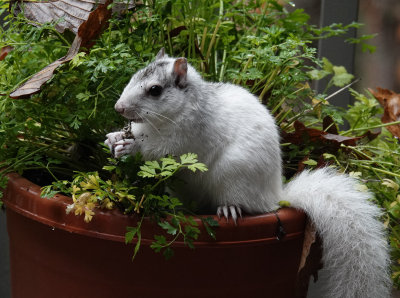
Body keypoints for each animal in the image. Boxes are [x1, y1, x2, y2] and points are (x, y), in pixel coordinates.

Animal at [105, 47, 390, 296]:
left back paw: (229, 209)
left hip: (235, 179)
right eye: (134, 76)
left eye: (155, 90)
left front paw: (130, 146)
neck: (164, 119)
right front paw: (114, 139)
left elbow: (157, 152)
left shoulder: (183, 140)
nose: (118, 108)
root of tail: (275, 196)